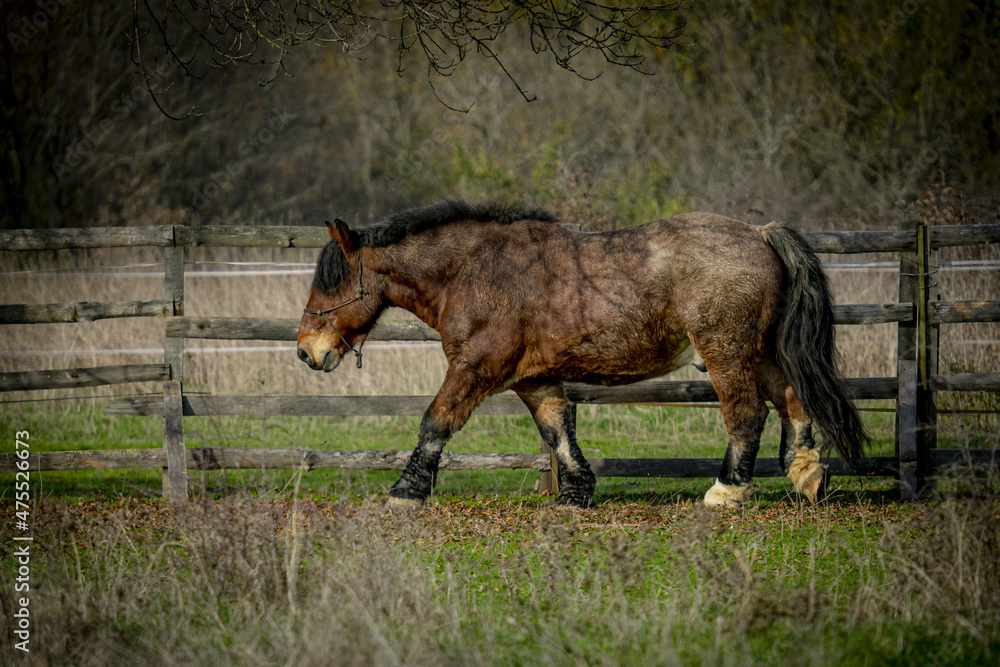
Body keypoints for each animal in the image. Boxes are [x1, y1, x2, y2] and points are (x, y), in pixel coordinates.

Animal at [292, 201, 864, 508]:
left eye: (331, 282)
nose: (305, 351)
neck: (473, 271)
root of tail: (760, 234)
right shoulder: (532, 377)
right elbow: (557, 430)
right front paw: (576, 492)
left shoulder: (476, 367)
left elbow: (436, 421)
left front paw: (406, 490)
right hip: (761, 352)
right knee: (792, 401)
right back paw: (807, 476)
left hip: (727, 352)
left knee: (746, 414)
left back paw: (727, 491)